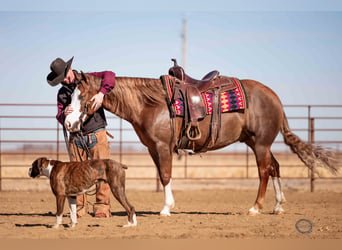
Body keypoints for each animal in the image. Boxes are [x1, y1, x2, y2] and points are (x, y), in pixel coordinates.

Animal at [63, 69, 336, 216]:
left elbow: (165, 175)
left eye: (83, 96)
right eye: (70, 94)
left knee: (264, 172)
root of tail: (275, 97)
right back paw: (278, 206)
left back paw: (256, 207)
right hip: (259, 143)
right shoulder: (153, 148)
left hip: (260, 145)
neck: (150, 103)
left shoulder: (163, 146)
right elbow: (163, 175)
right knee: (275, 167)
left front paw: (166, 208)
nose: (68, 123)